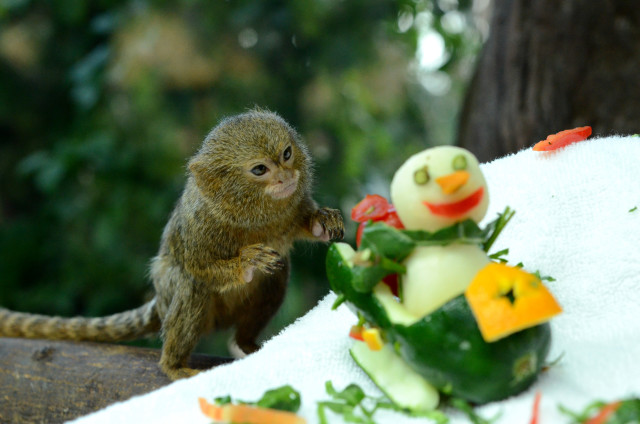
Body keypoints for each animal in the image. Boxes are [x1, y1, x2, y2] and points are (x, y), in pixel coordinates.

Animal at [0, 109, 345, 380]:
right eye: (260, 169)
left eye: (286, 154)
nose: (286, 176)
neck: (251, 216)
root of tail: (159, 300)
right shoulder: (199, 227)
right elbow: (199, 269)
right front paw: (246, 264)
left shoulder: (292, 208)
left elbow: (305, 224)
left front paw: (322, 222)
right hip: (172, 296)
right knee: (192, 287)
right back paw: (173, 365)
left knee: (277, 275)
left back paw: (247, 343)